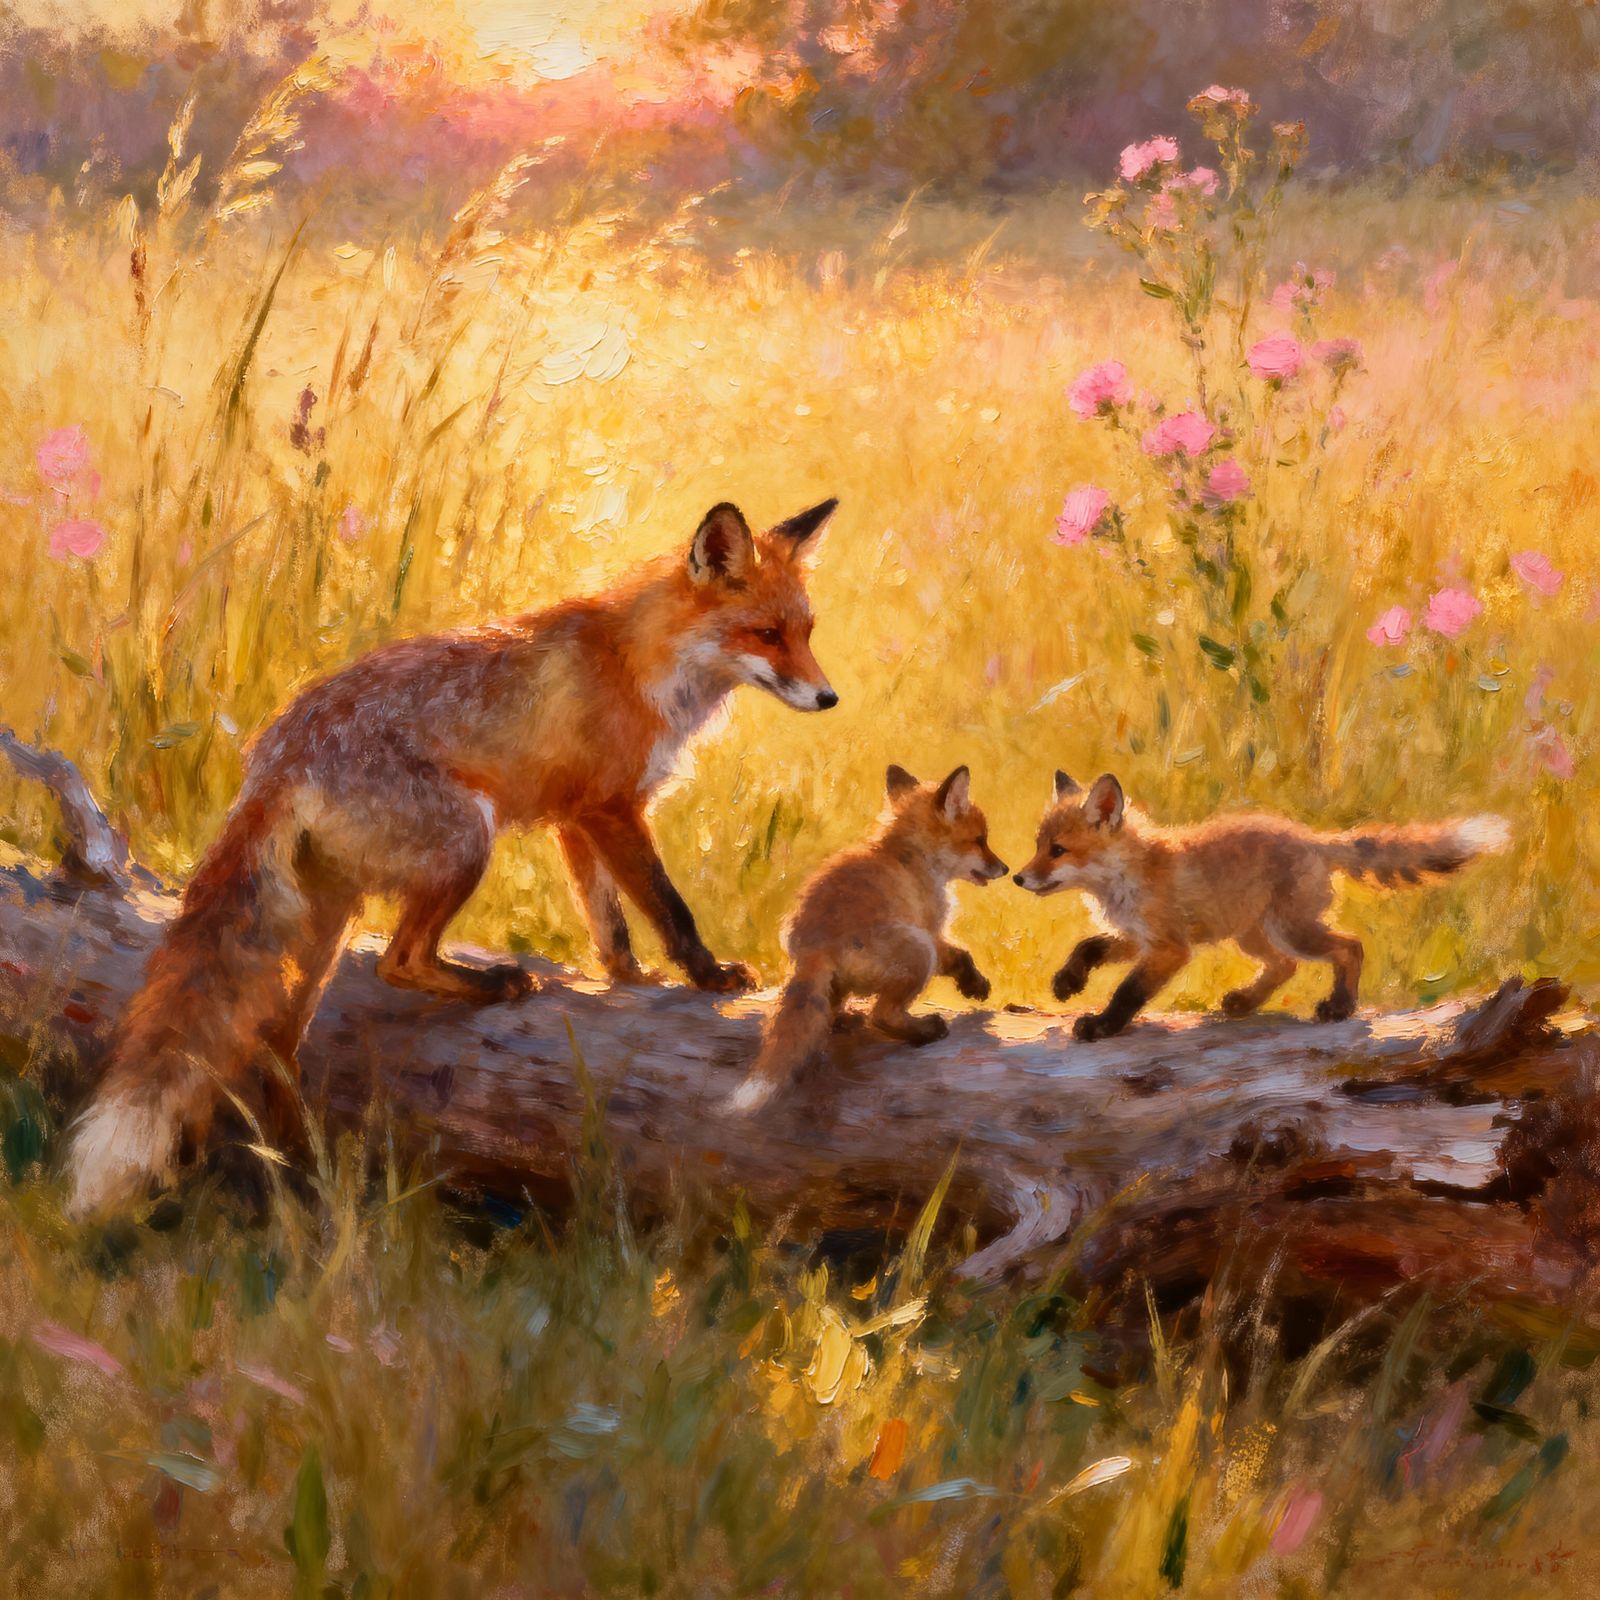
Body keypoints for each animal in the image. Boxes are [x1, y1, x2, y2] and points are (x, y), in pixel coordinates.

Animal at [66, 497, 841, 1216]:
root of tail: (274, 757)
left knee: (275, 1043)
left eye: (806, 633)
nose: (829, 697)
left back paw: (299, 1166)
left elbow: (607, 920)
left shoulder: (575, 818)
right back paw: (492, 984)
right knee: (398, 962)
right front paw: (707, 977)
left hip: (328, 916)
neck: (641, 664)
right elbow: (668, 907)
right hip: (468, 839)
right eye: (765, 634)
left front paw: (626, 979)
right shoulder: (610, 809)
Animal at [725, 763, 1009, 1113]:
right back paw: (924, 1030)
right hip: (918, 950)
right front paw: (975, 985)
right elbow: (960, 956)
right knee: (882, 1016)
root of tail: (815, 945)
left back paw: (846, 1019)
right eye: (980, 841)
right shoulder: (930, 931)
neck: (910, 855)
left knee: (828, 1014)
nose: (1006, 869)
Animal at [1013, 769, 1510, 1041]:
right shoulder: (1138, 938)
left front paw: (1101, 1026)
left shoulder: (1169, 948)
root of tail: (1313, 838)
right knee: (1284, 967)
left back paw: (1339, 1007)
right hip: (1253, 935)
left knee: (1349, 946)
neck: (1126, 878)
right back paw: (1245, 1002)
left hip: (1290, 931)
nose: (1017, 878)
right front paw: (1067, 983)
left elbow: (1127, 993)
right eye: (1037, 845)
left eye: (1057, 850)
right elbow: (1088, 947)